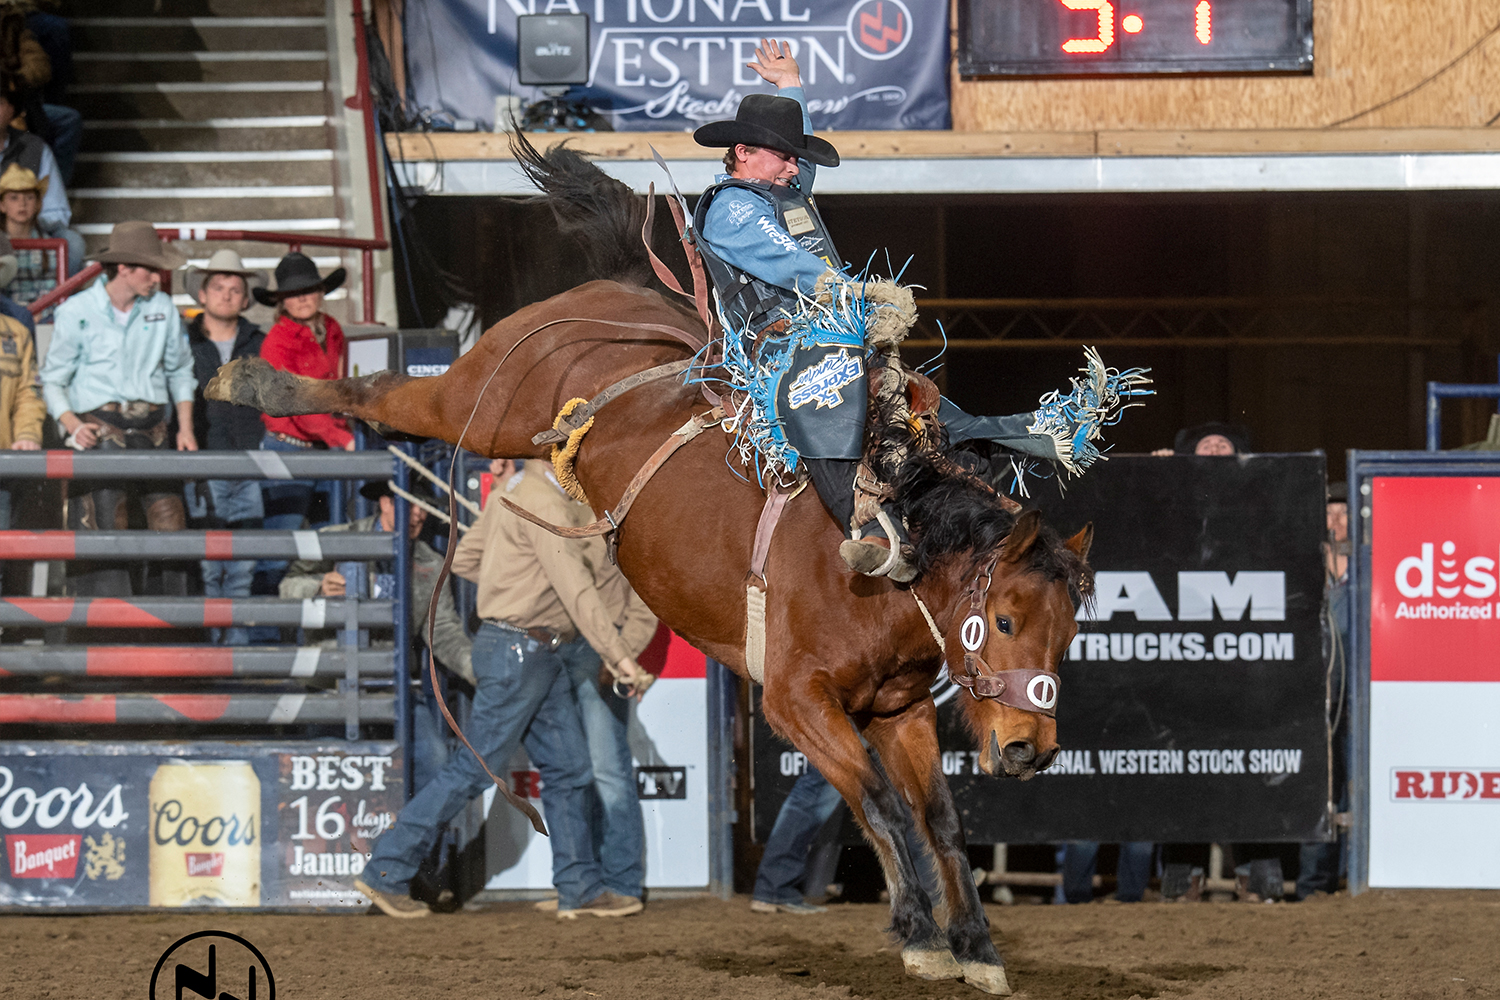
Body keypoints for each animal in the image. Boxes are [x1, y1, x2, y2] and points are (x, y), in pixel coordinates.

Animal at [214, 138, 1128, 995]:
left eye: (1067, 637)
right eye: (1003, 619)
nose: (1030, 749)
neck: (888, 573)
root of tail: (624, 292)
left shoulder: (897, 711)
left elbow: (937, 822)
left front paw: (975, 947)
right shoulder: (797, 703)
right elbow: (878, 808)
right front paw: (919, 934)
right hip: (486, 394)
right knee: (388, 394)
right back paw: (257, 383)